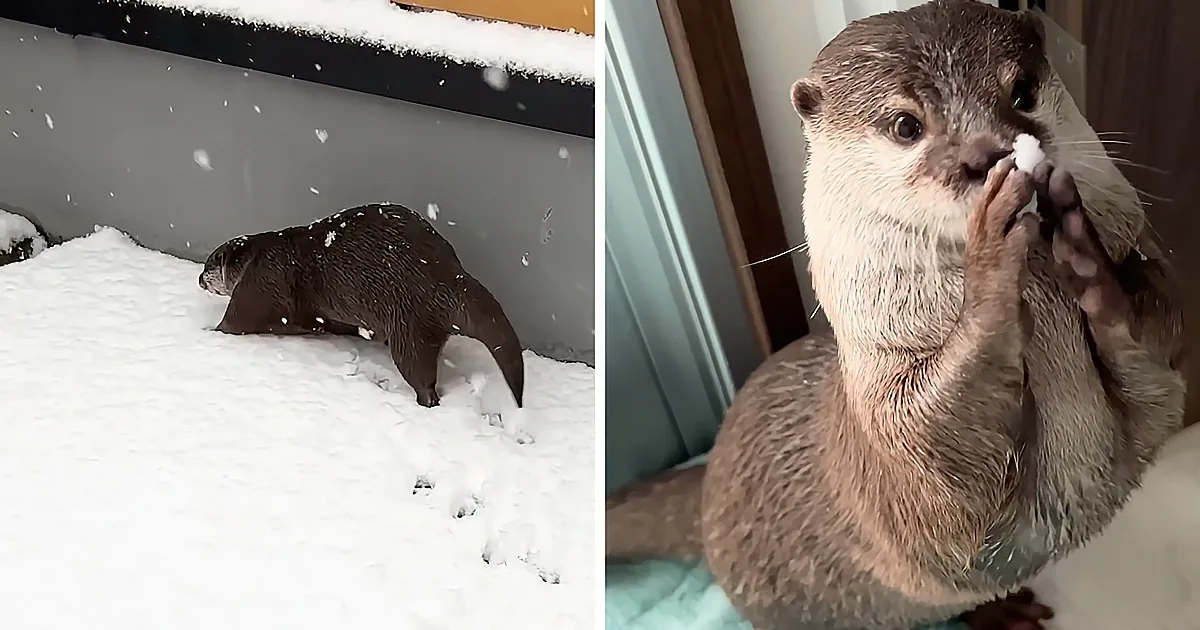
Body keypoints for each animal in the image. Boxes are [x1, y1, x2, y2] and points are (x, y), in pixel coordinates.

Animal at [199, 203, 525, 409]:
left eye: (209, 264)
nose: (200, 279)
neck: (258, 256)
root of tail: (447, 276)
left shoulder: (259, 284)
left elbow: (235, 321)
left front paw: (208, 332)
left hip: (409, 328)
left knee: (420, 375)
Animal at [606, 2, 1185, 630]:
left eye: (1023, 90)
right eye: (906, 125)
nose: (986, 155)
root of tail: (709, 478)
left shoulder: (1155, 383)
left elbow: (1161, 337)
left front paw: (1084, 252)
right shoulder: (905, 454)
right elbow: (940, 444)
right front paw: (991, 254)